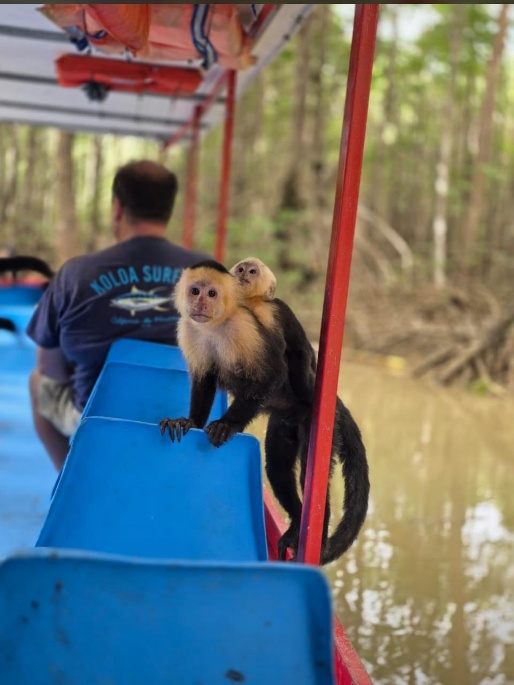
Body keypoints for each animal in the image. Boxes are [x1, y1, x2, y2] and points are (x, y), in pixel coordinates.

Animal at [160, 259, 369, 564]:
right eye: (195, 290)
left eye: (211, 293)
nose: (200, 303)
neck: (215, 324)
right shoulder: (190, 330)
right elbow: (204, 380)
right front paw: (189, 422)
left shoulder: (247, 325)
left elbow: (273, 373)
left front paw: (227, 424)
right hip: (283, 423)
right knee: (278, 470)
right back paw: (296, 523)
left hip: (320, 426)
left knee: (308, 474)